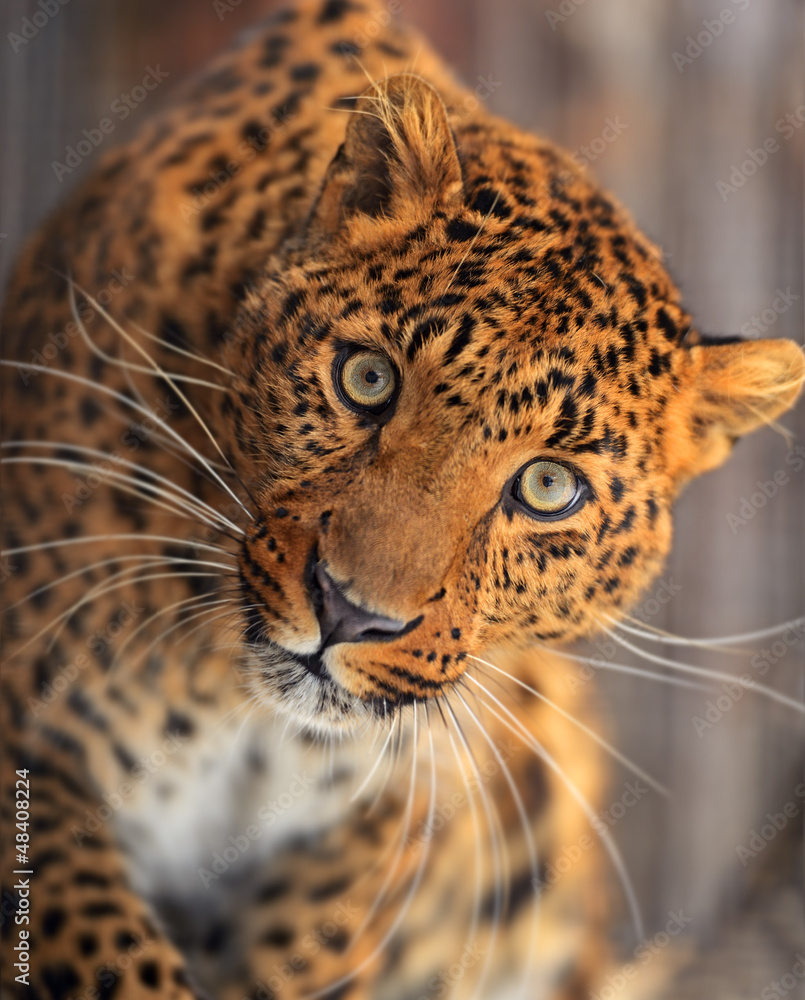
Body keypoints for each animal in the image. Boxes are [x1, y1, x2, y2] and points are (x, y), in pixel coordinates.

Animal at [1, 1, 803, 999]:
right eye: (367, 378)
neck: (246, 717)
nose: (349, 615)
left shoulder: (376, 828)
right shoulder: (35, 746)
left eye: (547, 487)